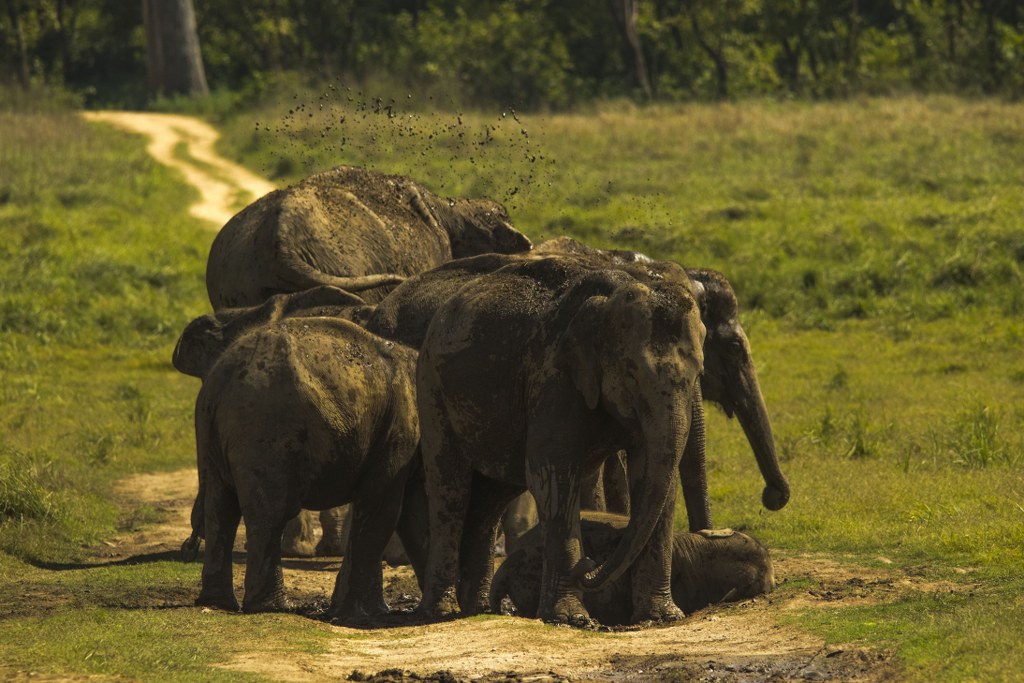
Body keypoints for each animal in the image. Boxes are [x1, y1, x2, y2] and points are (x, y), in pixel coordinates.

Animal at [188, 313, 423, 622]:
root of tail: (218, 381)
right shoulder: (399, 430)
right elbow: (383, 507)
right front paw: (367, 614)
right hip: (266, 430)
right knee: (271, 514)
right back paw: (273, 607)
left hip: (214, 437)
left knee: (220, 508)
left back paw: (218, 603)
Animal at [411, 253, 708, 626]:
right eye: (631, 373)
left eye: (699, 373)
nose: (589, 564)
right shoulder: (553, 375)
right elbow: (553, 475)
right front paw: (572, 619)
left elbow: (652, 480)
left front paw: (663, 617)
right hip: (432, 389)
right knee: (451, 490)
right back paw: (440, 612)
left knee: (491, 499)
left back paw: (476, 610)